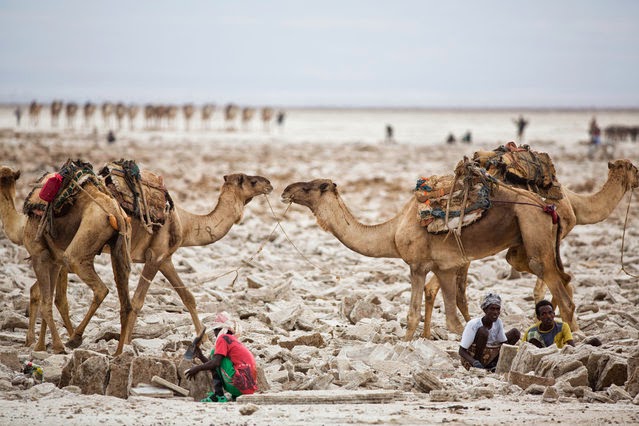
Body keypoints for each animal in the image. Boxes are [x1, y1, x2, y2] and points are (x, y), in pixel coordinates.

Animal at [0, 163, 132, 352]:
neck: (21, 226)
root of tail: (116, 213)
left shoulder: (39, 255)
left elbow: (47, 300)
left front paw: (55, 345)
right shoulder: (54, 261)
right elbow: (46, 297)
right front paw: (40, 345)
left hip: (83, 243)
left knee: (99, 287)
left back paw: (75, 338)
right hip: (120, 246)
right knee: (125, 299)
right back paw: (118, 353)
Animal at [280, 176, 576, 340]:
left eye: (314, 187)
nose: (286, 190)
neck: (393, 231)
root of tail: (549, 207)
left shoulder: (426, 266)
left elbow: (429, 316)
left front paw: (407, 344)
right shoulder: (439, 267)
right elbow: (441, 316)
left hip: (533, 229)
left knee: (558, 288)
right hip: (525, 246)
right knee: (564, 279)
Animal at [422, 158, 636, 338]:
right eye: (634, 168)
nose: (638, 180)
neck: (575, 204)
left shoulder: (521, 247)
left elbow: (554, 277)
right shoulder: (549, 238)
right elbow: (545, 284)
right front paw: (557, 322)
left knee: (435, 287)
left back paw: (428, 333)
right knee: (449, 289)